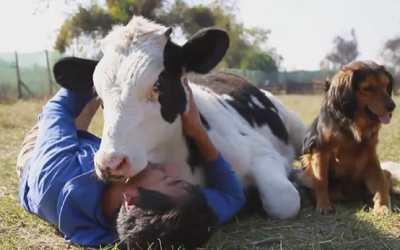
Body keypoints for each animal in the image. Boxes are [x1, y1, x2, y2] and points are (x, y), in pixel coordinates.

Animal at [300, 60, 394, 215]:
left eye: (386, 84)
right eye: (367, 88)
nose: (392, 106)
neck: (353, 122)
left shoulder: (371, 153)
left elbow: (381, 181)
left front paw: (382, 206)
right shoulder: (320, 151)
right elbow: (321, 180)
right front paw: (324, 205)